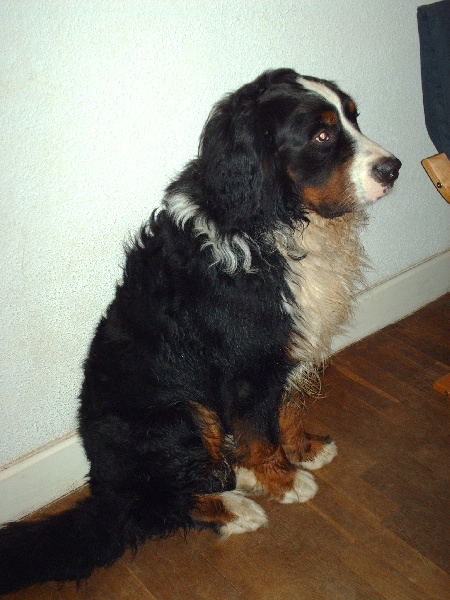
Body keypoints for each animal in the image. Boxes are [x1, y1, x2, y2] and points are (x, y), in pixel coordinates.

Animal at [0, 68, 401, 594]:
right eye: (321, 135)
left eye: (354, 117)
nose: (394, 168)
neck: (275, 222)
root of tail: (107, 489)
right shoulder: (249, 366)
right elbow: (260, 432)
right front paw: (285, 480)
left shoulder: (289, 348)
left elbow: (287, 409)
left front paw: (304, 450)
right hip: (181, 415)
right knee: (158, 507)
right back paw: (238, 510)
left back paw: (239, 478)